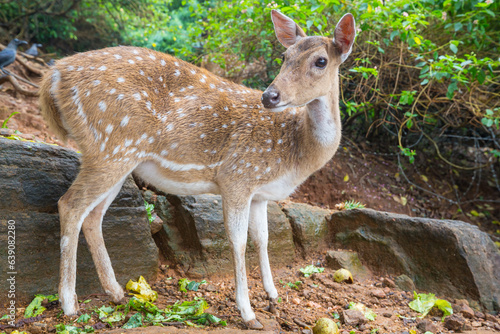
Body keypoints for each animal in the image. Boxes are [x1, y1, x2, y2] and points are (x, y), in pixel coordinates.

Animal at [39, 9, 356, 328]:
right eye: (284, 56)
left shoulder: (260, 193)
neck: (294, 151)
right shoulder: (236, 175)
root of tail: (52, 76)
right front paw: (248, 313)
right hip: (110, 146)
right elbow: (238, 241)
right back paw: (69, 304)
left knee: (92, 216)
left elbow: (263, 239)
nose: (270, 96)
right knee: (70, 205)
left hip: (117, 156)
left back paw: (116, 292)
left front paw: (272, 295)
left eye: (320, 61)